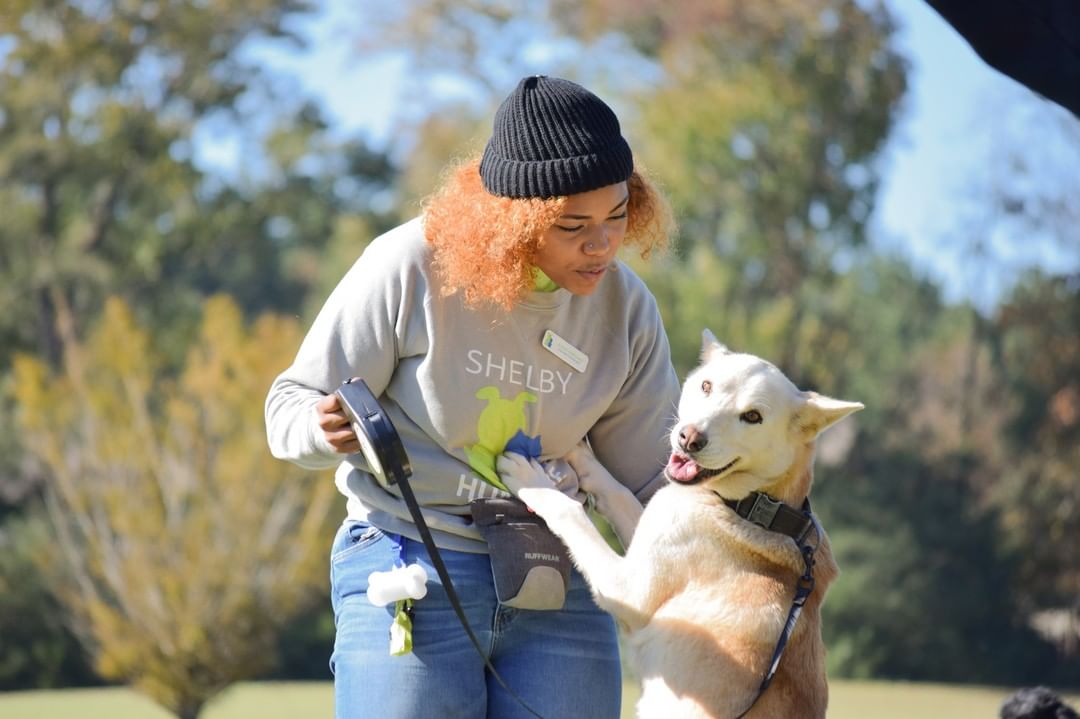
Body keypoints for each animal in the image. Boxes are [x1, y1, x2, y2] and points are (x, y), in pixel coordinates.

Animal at [494, 330, 859, 716]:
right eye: (707, 386)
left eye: (753, 416)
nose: (689, 438)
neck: (754, 507)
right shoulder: (653, 521)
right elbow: (617, 491)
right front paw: (581, 454)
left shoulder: (628, 589)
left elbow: (571, 513)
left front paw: (533, 481)